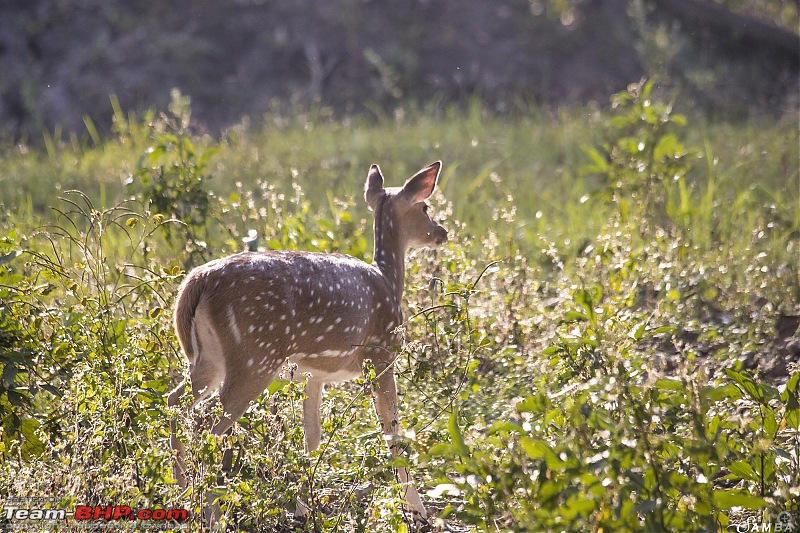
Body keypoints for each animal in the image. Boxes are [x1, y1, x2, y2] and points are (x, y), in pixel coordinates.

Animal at [169, 161, 446, 520]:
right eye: (424, 207)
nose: (442, 232)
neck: (389, 281)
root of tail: (197, 281)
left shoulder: (314, 373)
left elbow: (311, 435)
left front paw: (302, 506)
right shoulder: (381, 352)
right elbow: (392, 429)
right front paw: (416, 506)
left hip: (208, 358)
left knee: (176, 403)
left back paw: (179, 491)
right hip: (255, 356)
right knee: (208, 425)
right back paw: (212, 511)